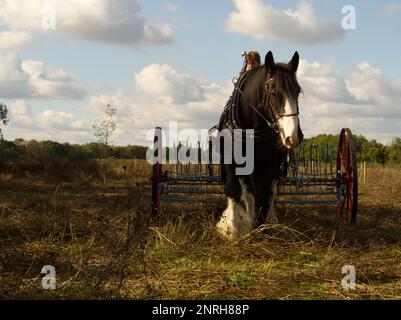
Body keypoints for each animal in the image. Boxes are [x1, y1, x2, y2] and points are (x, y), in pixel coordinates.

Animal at [216, 50, 304, 238]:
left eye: (298, 91)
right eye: (273, 92)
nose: (294, 136)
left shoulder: (270, 165)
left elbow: (266, 195)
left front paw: (263, 226)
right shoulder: (232, 162)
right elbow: (234, 190)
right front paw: (232, 228)